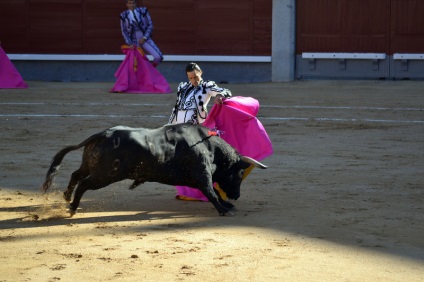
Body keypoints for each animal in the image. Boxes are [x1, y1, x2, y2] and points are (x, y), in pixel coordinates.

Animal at [41, 123, 266, 216]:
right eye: (239, 173)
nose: (236, 195)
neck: (210, 147)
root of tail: (103, 134)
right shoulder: (202, 175)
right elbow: (211, 192)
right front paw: (225, 210)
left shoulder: (200, 178)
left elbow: (214, 193)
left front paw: (227, 205)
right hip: (105, 175)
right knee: (83, 183)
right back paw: (72, 208)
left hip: (91, 166)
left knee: (75, 175)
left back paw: (67, 198)